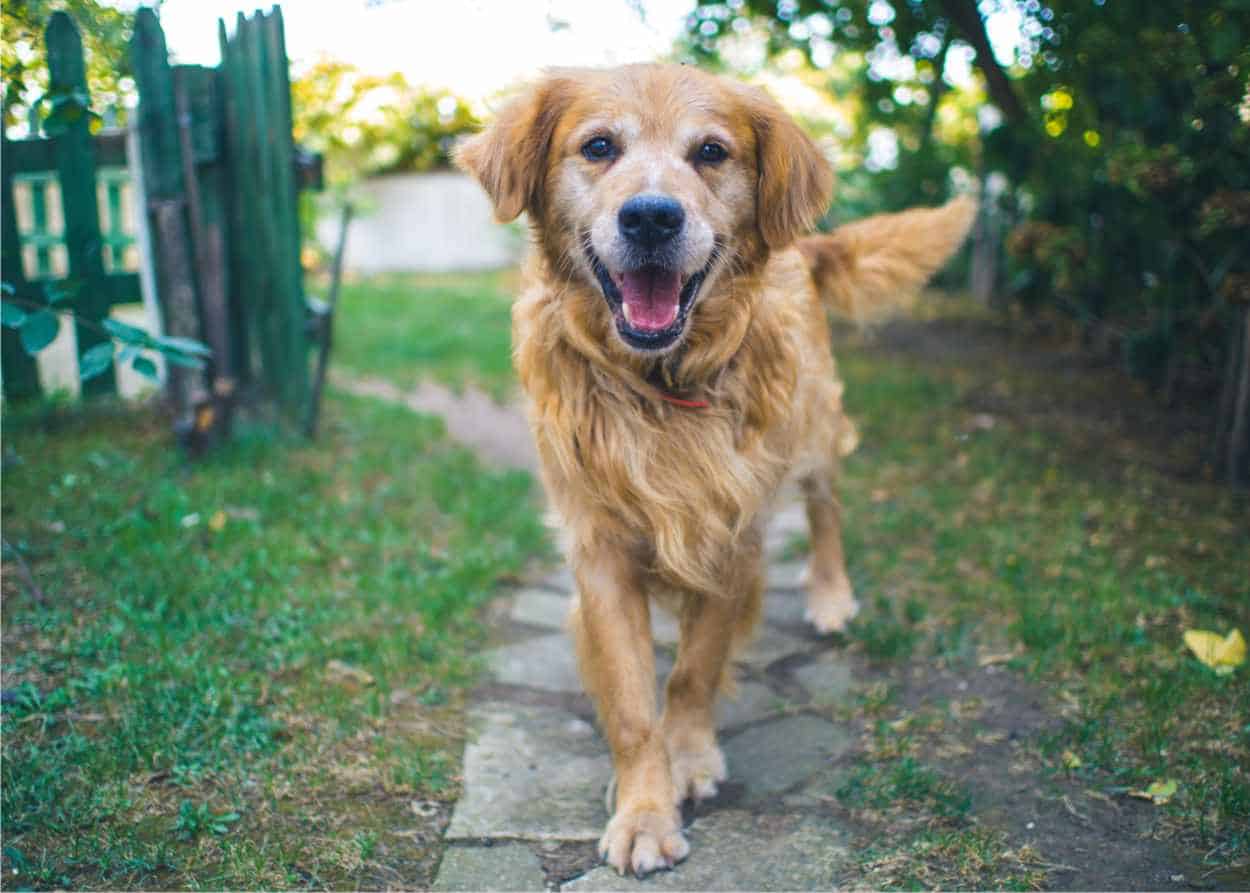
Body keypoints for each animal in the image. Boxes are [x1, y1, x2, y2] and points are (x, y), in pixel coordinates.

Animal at [460, 64, 975, 875]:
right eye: (598, 146)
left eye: (711, 152)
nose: (651, 218)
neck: (659, 385)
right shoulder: (600, 550)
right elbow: (634, 701)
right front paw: (644, 807)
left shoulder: (733, 535)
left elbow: (693, 669)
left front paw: (689, 757)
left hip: (813, 428)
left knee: (826, 508)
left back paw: (830, 594)